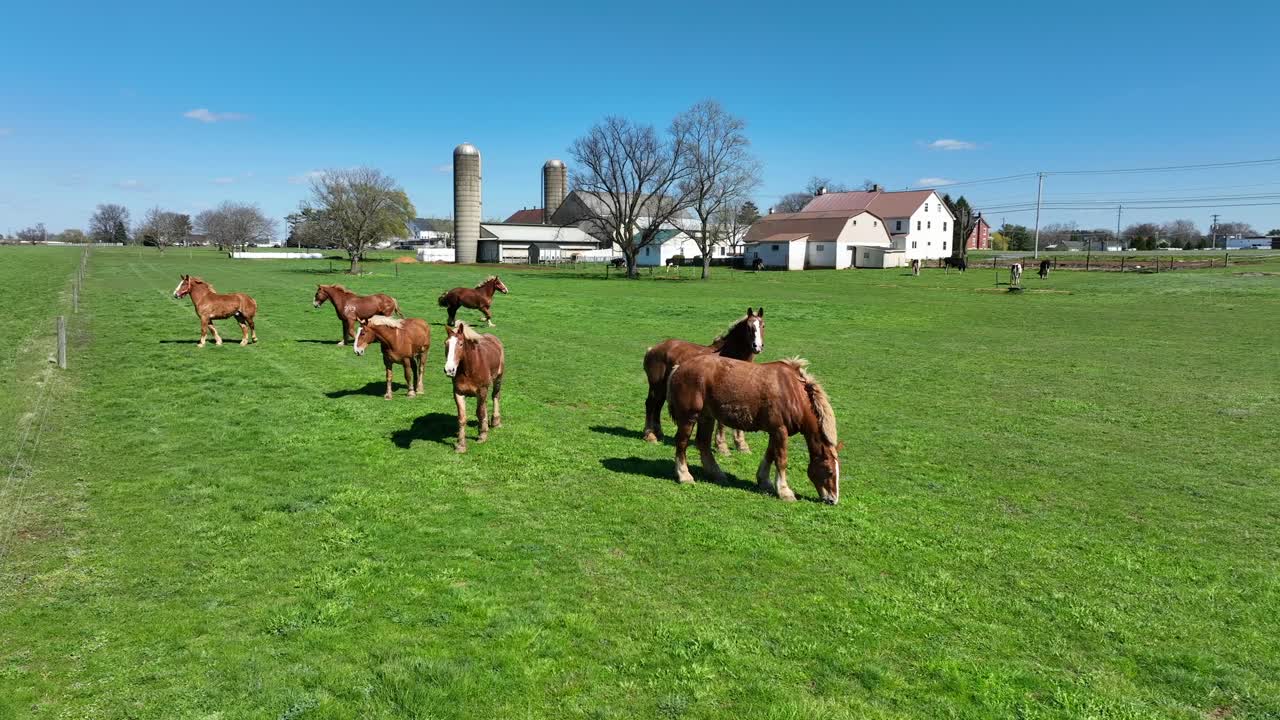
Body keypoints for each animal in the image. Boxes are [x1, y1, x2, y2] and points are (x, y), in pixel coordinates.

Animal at [443, 322, 505, 453]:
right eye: (446, 343)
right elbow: (462, 418)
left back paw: (495, 421)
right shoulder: (458, 393)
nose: (449, 369)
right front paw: (461, 445)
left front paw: (482, 436)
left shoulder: (481, 391)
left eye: (460, 344)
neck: (469, 369)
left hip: (498, 378)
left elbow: (480, 413)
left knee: (495, 396)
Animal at [642, 309, 765, 454]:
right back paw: (650, 436)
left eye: (763, 326)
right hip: (655, 387)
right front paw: (722, 446)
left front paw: (742, 445)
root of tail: (653, 349)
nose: (757, 346)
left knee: (657, 406)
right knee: (650, 405)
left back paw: (659, 434)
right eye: (748, 327)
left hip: (662, 389)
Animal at [666, 355, 843, 504]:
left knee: (703, 444)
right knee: (681, 443)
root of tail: (680, 366)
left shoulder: (775, 431)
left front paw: (764, 481)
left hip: (706, 417)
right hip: (689, 417)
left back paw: (716, 474)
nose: (833, 500)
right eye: (829, 471)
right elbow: (781, 460)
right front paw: (785, 491)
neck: (793, 393)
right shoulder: (780, 430)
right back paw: (684, 475)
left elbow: (770, 455)